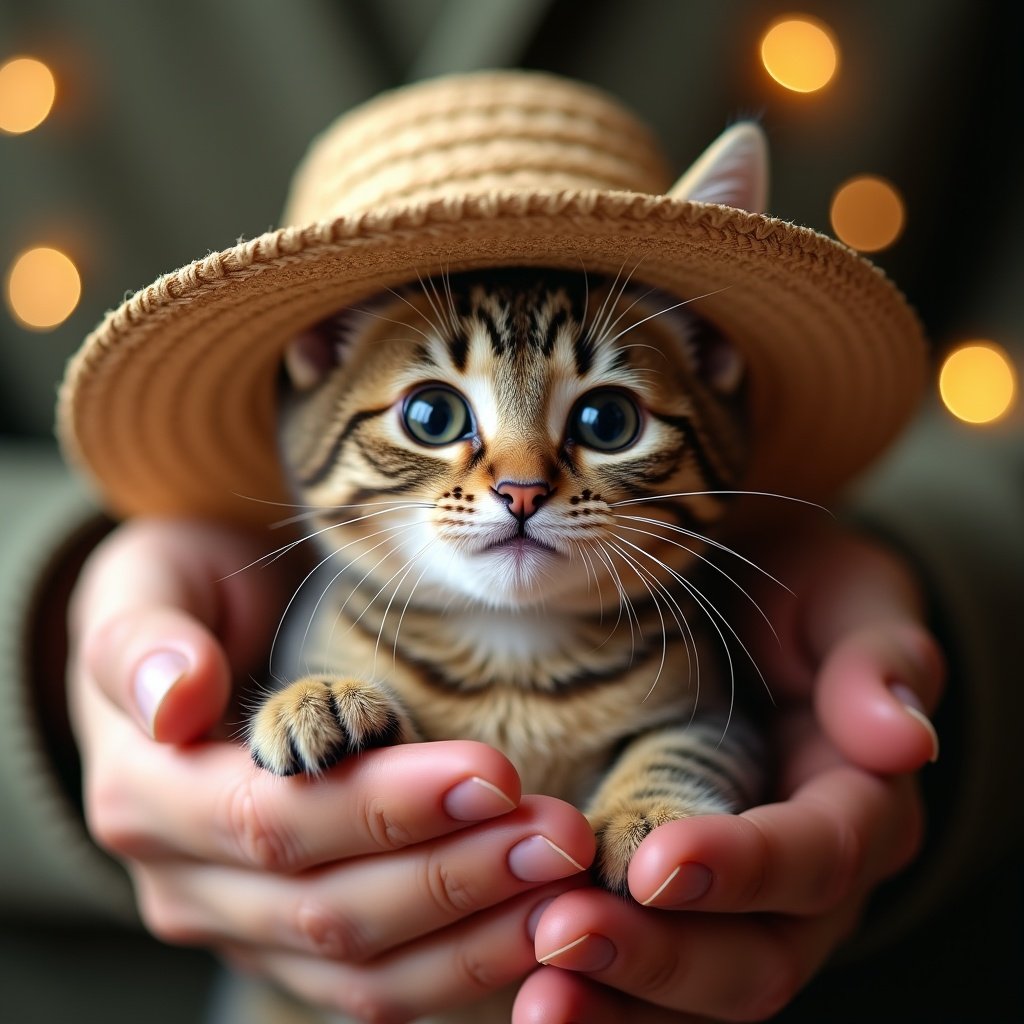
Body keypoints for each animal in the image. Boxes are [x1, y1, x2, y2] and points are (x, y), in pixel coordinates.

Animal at [249, 266, 761, 897]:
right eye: (432, 416)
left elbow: (689, 747)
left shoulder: (729, 716)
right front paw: (319, 698)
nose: (522, 490)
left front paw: (643, 813)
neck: (511, 654)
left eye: (608, 421)